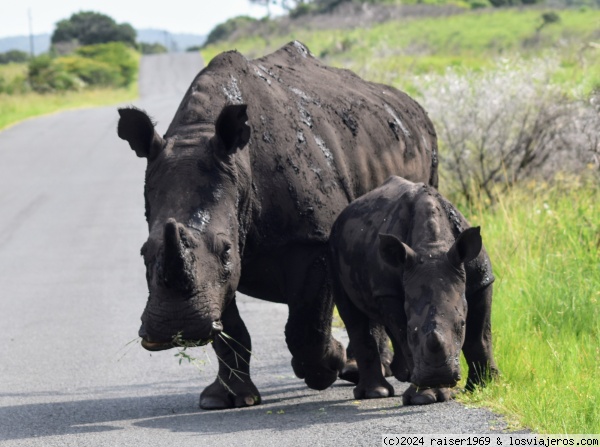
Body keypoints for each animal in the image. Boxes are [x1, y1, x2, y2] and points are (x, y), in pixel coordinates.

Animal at [117, 41, 438, 410]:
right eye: (144, 254)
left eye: (226, 250)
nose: (176, 328)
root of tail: (408, 104)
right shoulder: (216, 271)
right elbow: (229, 328)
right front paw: (226, 400)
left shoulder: (311, 240)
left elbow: (305, 325)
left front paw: (327, 368)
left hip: (423, 150)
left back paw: (367, 372)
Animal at [328, 177, 496, 408]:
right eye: (411, 330)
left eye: (461, 324)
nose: (437, 375)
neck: (432, 247)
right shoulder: (389, 291)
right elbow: (402, 335)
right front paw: (425, 397)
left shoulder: (481, 280)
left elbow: (480, 336)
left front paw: (485, 386)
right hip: (334, 249)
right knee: (353, 314)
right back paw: (376, 393)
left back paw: (402, 376)